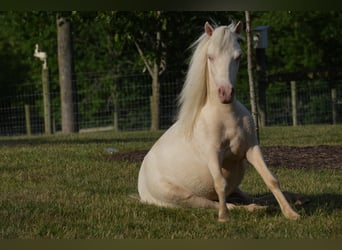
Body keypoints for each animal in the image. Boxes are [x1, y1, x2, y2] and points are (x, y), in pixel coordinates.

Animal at [137, 21, 300, 221]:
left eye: (238, 56)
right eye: (210, 57)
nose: (226, 93)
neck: (225, 116)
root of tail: (142, 183)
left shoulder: (252, 148)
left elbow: (271, 179)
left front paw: (291, 213)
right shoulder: (213, 154)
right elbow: (220, 184)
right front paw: (223, 218)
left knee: (243, 195)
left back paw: (288, 200)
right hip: (185, 198)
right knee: (219, 202)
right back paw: (251, 209)